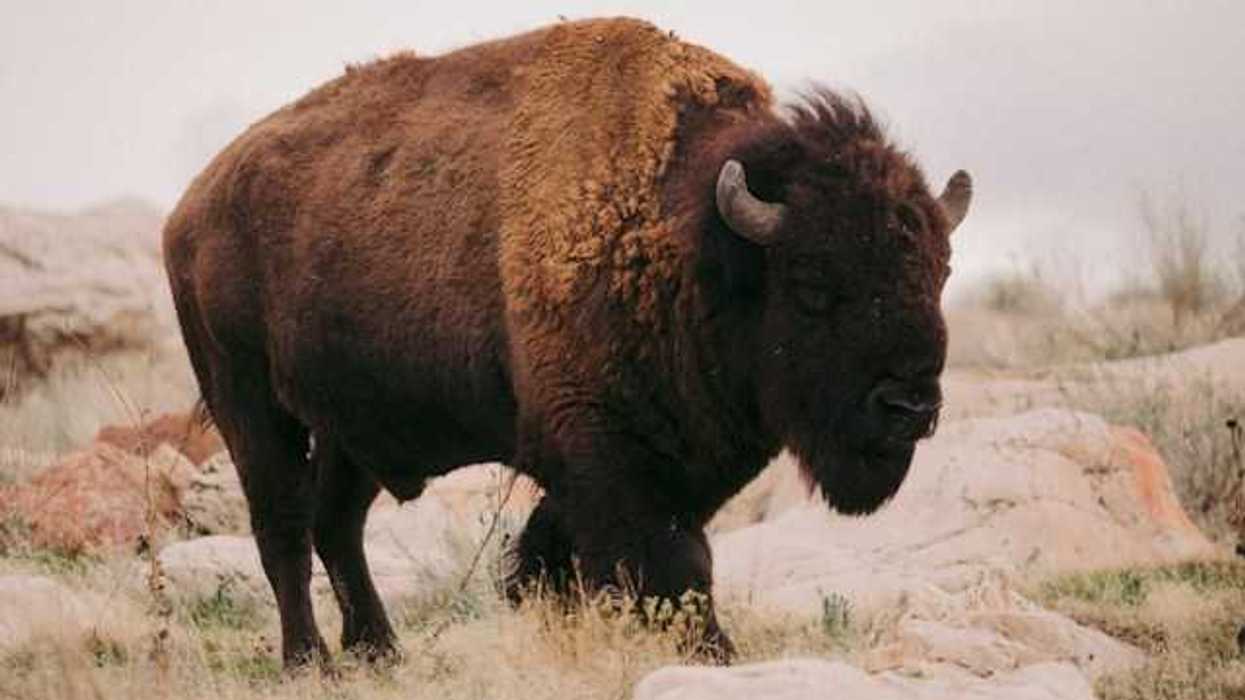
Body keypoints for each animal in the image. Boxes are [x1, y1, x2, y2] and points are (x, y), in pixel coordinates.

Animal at [163, 17, 971, 666]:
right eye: (813, 283)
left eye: (938, 271)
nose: (909, 406)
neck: (685, 235)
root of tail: (192, 206)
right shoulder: (606, 452)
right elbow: (669, 562)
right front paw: (715, 653)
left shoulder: (673, 457)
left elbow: (565, 552)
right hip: (248, 404)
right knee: (283, 530)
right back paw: (311, 662)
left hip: (350, 428)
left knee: (337, 526)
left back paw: (380, 652)